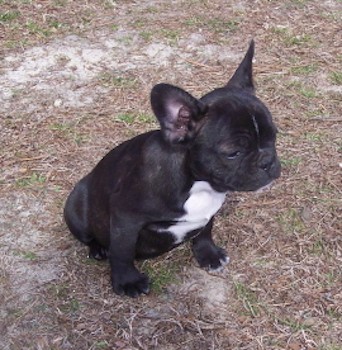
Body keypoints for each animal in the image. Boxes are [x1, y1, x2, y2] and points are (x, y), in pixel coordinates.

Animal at [64, 41, 280, 298]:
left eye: (274, 137)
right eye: (233, 152)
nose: (268, 161)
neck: (197, 185)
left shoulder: (208, 213)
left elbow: (205, 231)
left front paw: (208, 254)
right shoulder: (125, 218)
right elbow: (122, 251)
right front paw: (127, 281)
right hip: (76, 206)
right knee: (90, 237)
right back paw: (98, 249)